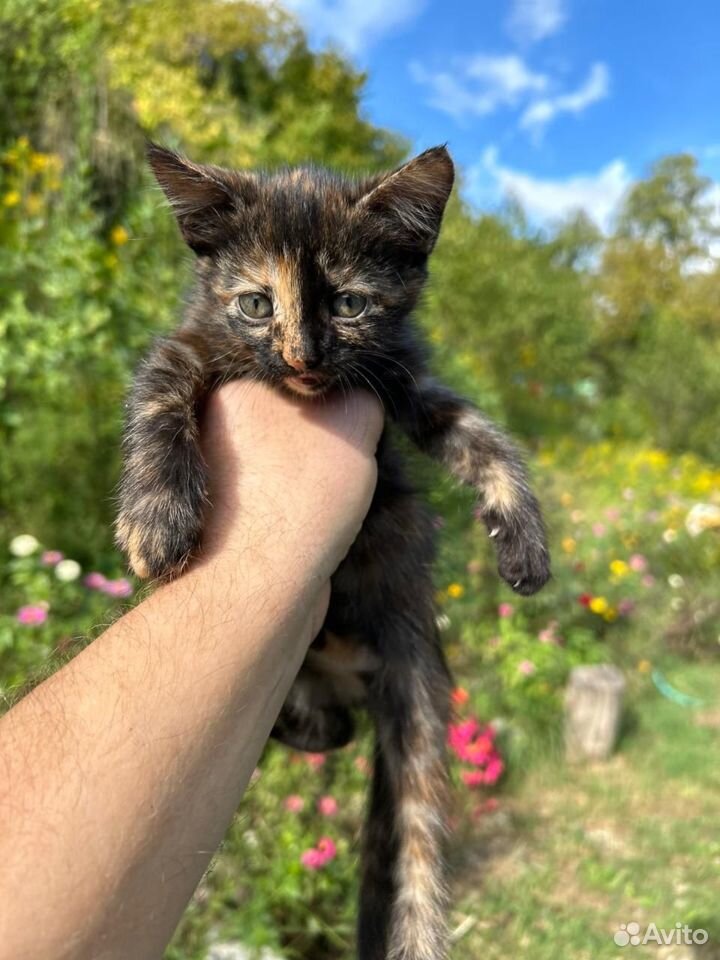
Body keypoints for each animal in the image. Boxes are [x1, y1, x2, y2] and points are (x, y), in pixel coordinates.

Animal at [116, 142, 552, 960]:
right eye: (257, 304)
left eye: (349, 305)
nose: (302, 357)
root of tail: (365, 670)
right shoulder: (192, 339)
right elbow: (159, 386)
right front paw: (156, 516)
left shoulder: (408, 382)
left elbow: (482, 436)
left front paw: (525, 539)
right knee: (328, 729)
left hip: (416, 702)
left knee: (410, 843)